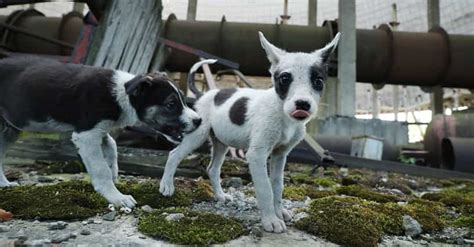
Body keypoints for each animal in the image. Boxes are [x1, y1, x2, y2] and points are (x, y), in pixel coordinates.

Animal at [0, 57, 202, 207]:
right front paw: (116, 197)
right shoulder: (86, 135)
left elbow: (111, 144)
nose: (199, 120)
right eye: (171, 104)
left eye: (183, 100)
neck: (122, 94)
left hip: (10, 130)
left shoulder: (99, 128)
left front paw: (114, 170)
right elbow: (100, 168)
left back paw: (4, 184)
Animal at [159, 32, 340, 232]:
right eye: (284, 79)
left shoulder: (280, 155)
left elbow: (277, 186)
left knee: (213, 169)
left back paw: (220, 196)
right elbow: (265, 189)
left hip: (221, 142)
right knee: (174, 155)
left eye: (318, 81)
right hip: (197, 135)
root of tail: (204, 94)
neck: (283, 115)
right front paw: (271, 220)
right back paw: (166, 186)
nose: (302, 104)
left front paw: (279, 212)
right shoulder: (257, 155)